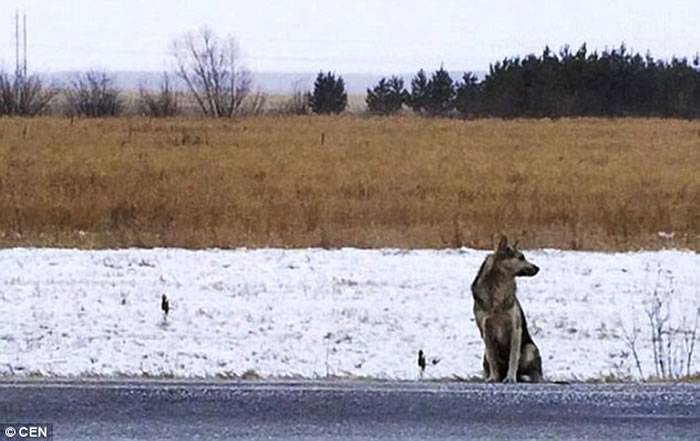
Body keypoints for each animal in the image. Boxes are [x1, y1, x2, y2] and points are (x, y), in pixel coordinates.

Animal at [470, 234, 540, 382]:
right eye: (521, 257)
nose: (538, 268)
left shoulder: (515, 329)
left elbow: (513, 357)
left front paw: (510, 378)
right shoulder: (486, 331)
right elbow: (493, 359)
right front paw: (493, 377)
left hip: (529, 349)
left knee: (531, 372)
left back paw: (523, 377)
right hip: (484, 354)